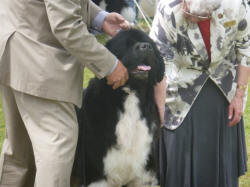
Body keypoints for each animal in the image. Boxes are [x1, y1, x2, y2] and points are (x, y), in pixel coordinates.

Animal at [72, 29, 165, 187]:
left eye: (149, 43)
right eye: (127, 44)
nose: (146, 47)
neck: (131, 94)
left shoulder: (144, 176)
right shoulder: (97, 176)